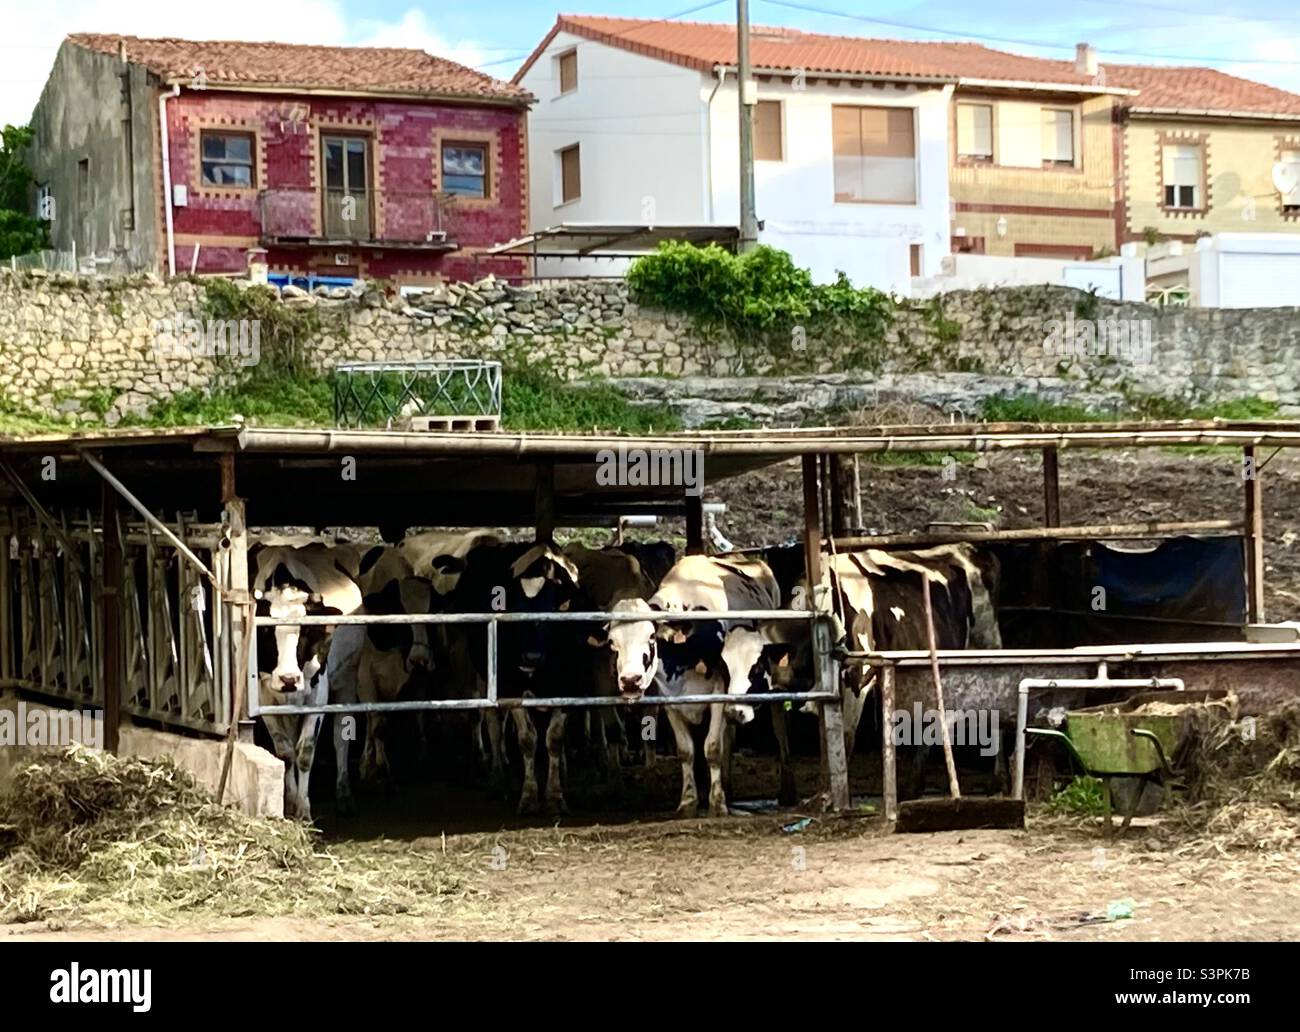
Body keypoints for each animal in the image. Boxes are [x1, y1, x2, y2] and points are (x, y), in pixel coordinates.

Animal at [251, 542, 363, 820]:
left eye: (307, 631)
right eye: (265, 630)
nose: (289, 679)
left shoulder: (318, 691)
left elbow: (305, 752)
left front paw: (304, 810)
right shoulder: (263, 693)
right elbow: (285, 752)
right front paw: (290, 804)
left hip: (348, 676)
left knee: (340, 735)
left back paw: (344, 793)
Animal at [600, 553, 781, 818]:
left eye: (651, 637)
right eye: (613, 643)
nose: (630, 680)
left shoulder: (719, 692)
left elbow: (713, 747)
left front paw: (717, 803)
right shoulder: (670, 700)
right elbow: (686, 751)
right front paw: (688, 802)